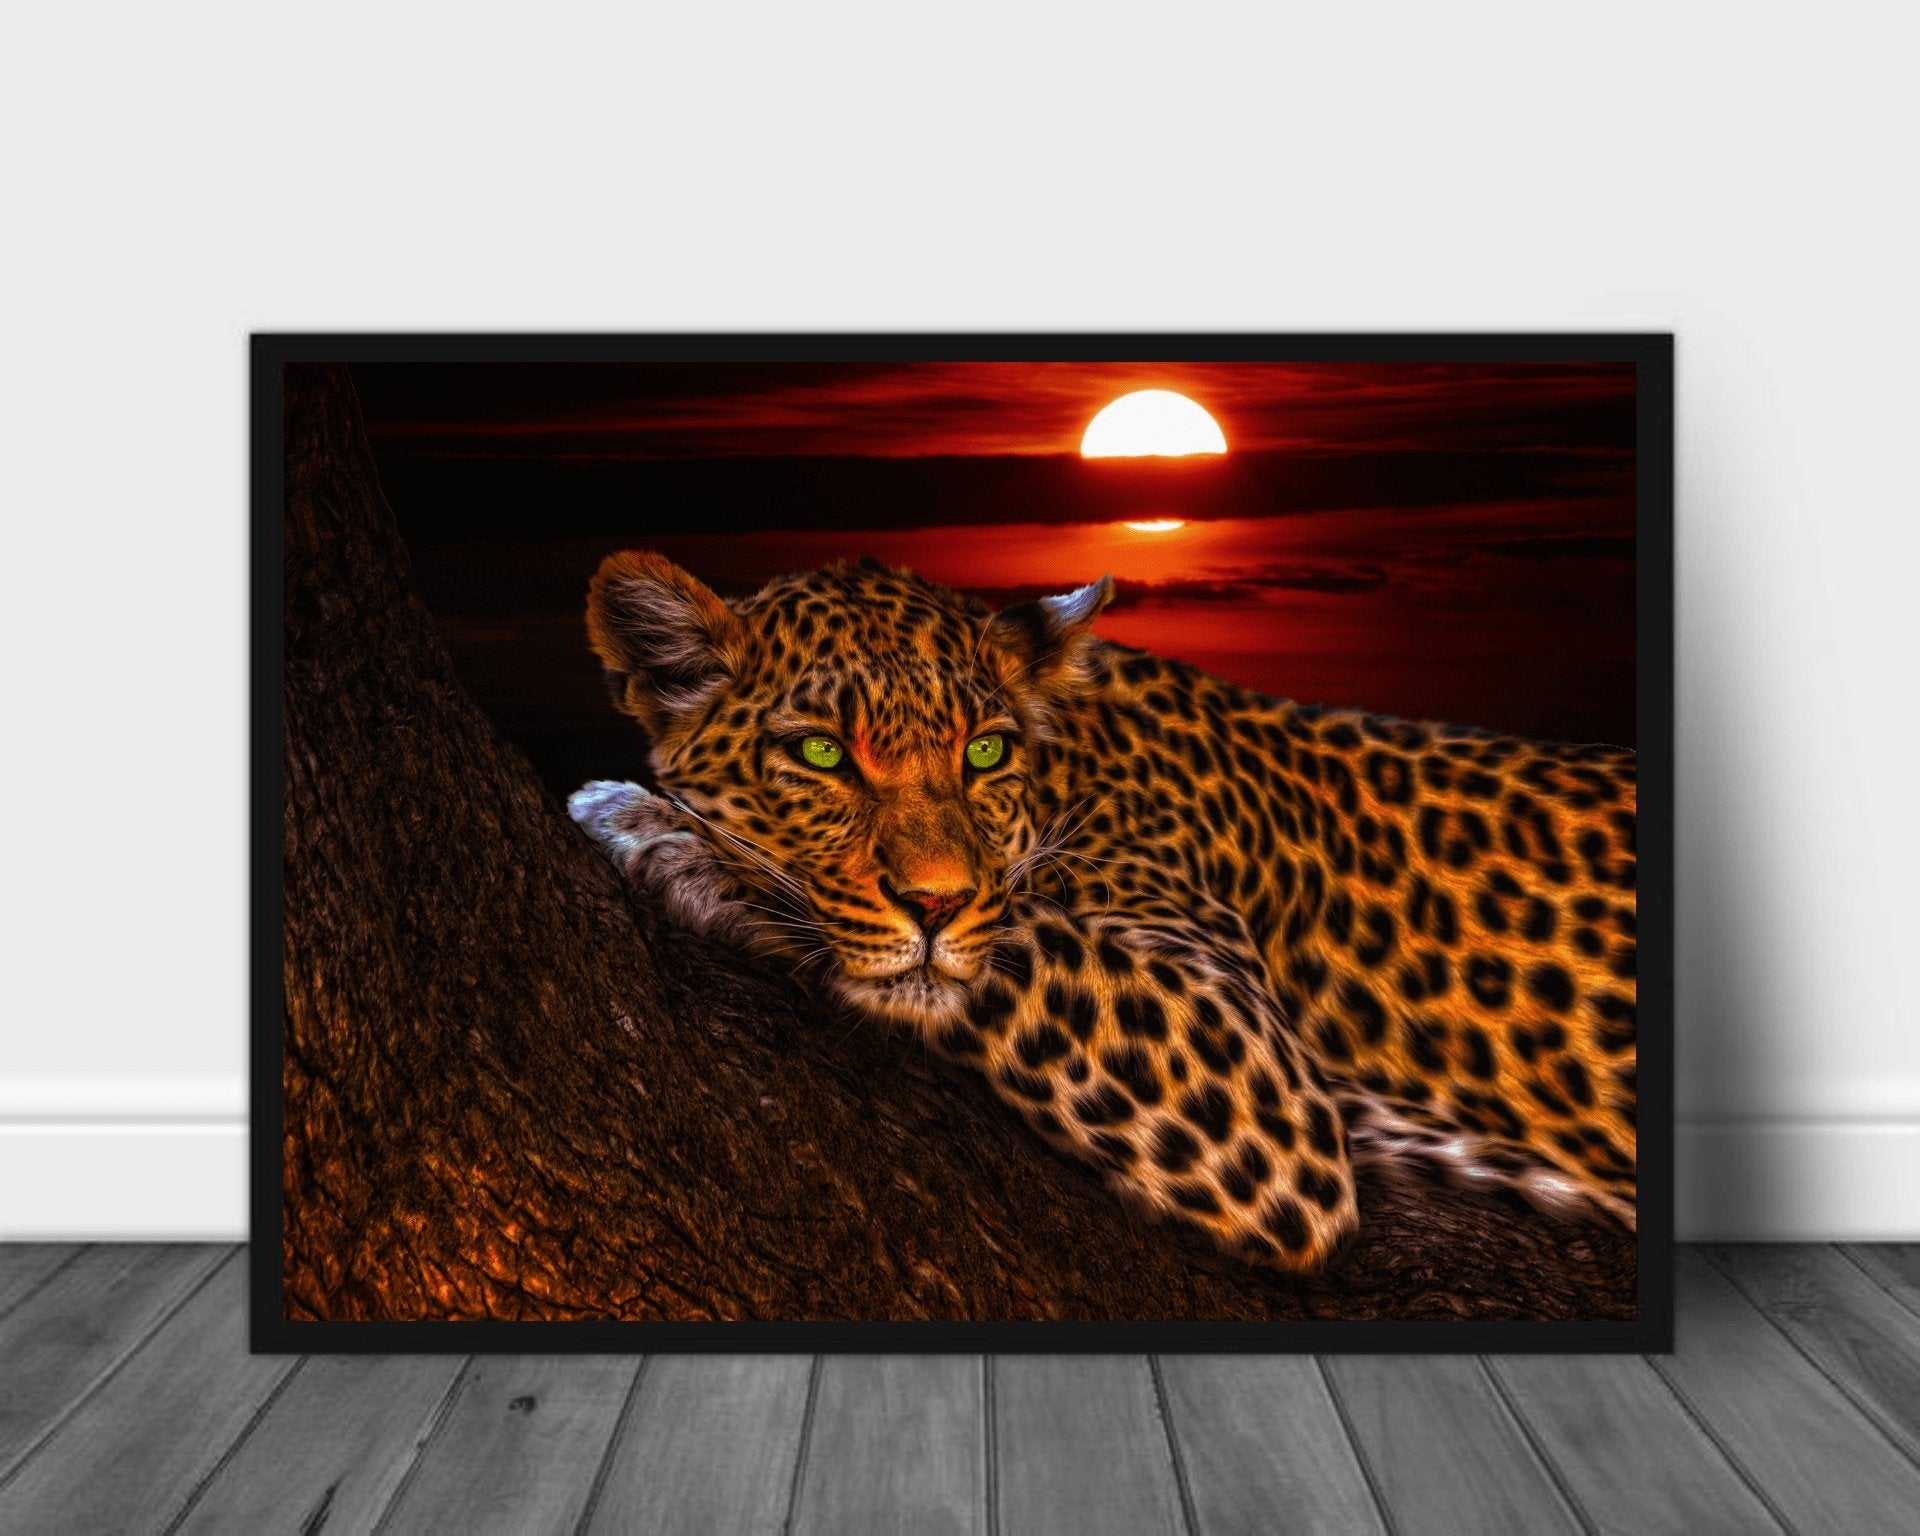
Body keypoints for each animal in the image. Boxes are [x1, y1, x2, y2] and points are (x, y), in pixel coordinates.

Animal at [569, 550, 1638, 1271]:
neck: (1071, 766)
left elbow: (1007, 945)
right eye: (822, 753)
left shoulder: (1256, 1081)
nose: (934, 903)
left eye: (985, 752)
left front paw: (659, 829)